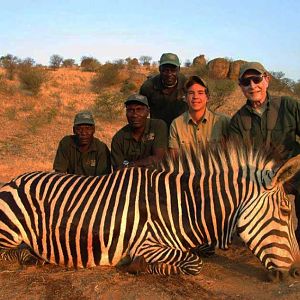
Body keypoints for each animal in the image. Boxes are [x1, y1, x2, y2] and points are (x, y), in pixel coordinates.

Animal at [0, 142, 298, 278]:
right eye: (285, 213)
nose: (296, 272)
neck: (182, 207)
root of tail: (14, 179)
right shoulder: (147, 244)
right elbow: (194, 263)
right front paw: (140, 266)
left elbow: (197, 256)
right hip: (10, 228)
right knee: (8, 253)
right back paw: (31, 258)